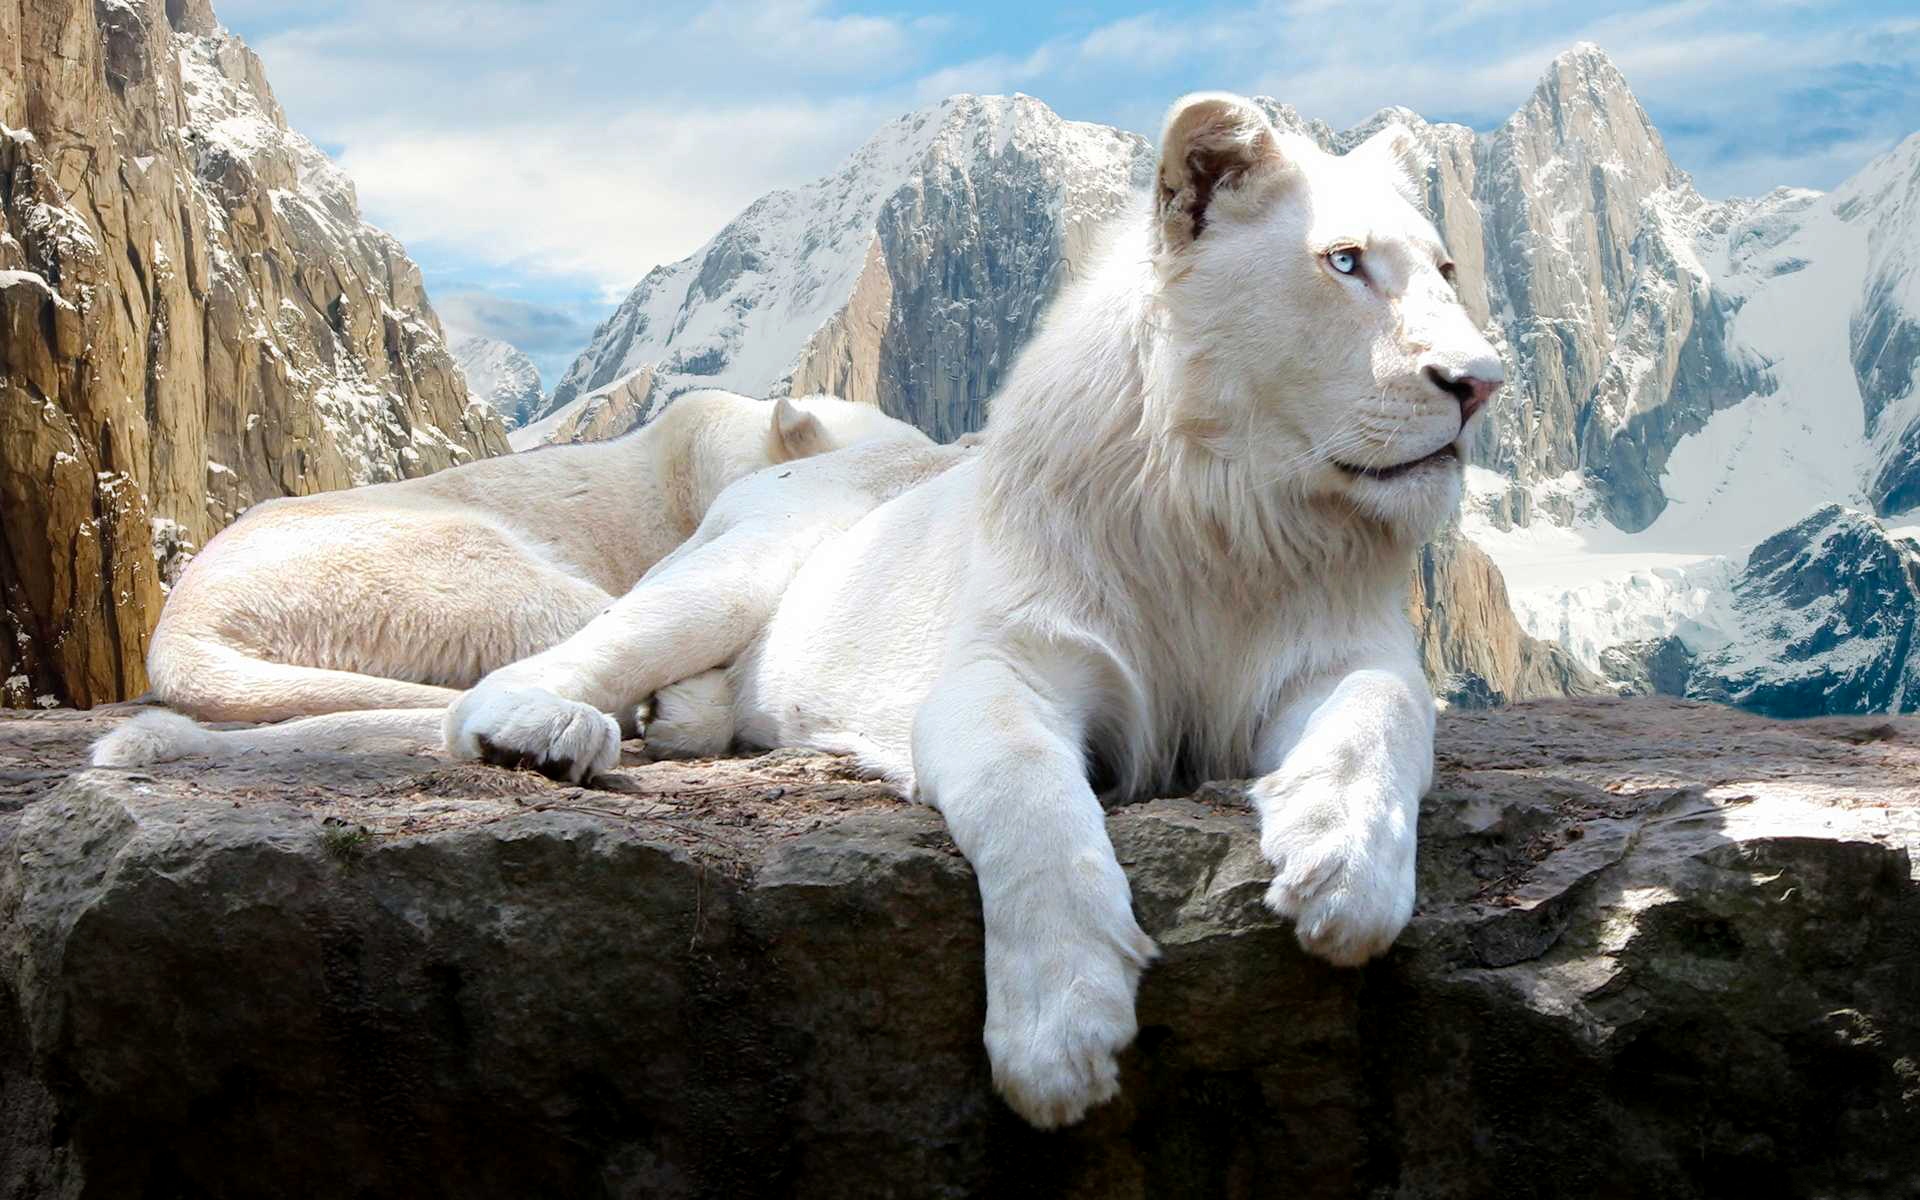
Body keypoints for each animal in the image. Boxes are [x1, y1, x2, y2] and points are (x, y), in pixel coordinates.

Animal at [434, 93, 1503, 1128]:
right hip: (735, 571)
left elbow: (1381, 715)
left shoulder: (1342, 655)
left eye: (1448, 269)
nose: (1482, 384)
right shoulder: (1005, 667)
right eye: (1344, 261)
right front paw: (1060, 1032)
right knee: (538, 671)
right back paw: (547, 732)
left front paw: (1344, 868)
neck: (1231, 511)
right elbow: (1028, 797)